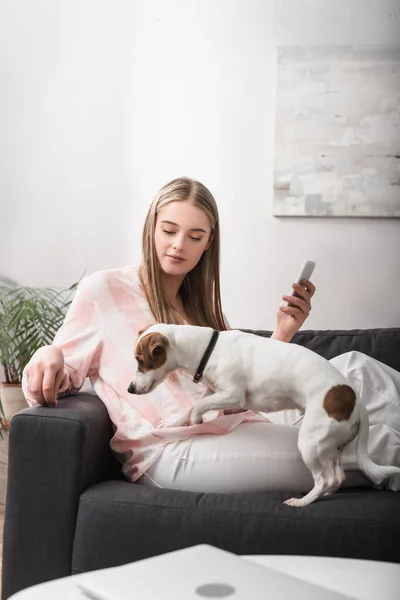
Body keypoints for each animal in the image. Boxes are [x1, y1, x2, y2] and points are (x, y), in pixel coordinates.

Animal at [127, 324, 400, 506]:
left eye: (140, 360)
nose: (129, 389)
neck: (208, 349)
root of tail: (357, 403)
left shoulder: (233, 395)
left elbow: (197, 407)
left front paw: (195, 420)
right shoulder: (213, 390)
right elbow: (192, 405)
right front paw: (176, 422)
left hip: (310, 443)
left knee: (324, 480)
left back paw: (301, 502)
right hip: (330, 446)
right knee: (336, 477)